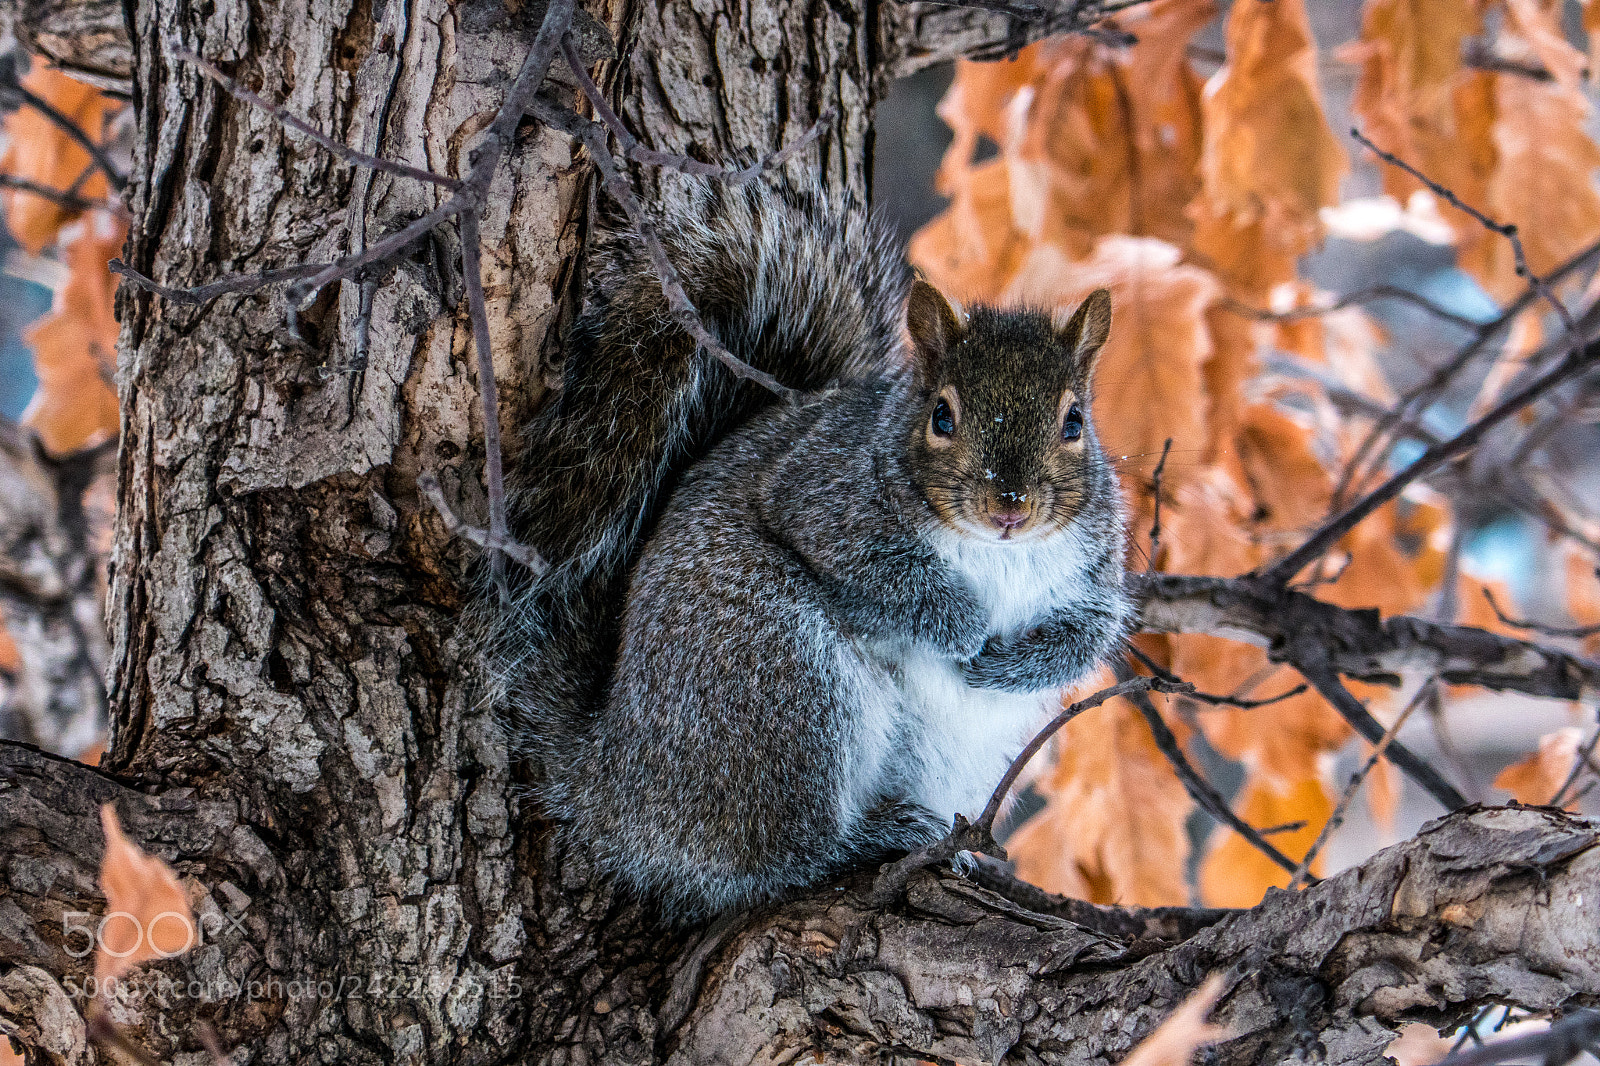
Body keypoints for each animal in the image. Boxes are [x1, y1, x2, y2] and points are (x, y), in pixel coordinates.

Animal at [484, 180, 1131, 921]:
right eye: (941, 415)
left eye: (1074, 422)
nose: (1010, 507)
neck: (996, 553)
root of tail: (615, 782)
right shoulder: (819, 499)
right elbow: (885, 580)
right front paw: (963, 628)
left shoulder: (1096, 572)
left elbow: (1087, 636)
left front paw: (1012, 666)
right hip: (782, 685)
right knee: (777, 854)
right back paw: (872, 836)